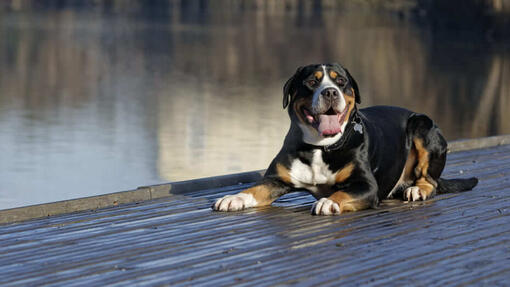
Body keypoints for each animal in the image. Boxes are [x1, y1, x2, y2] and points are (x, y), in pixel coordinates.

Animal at [211, 63, 478, 216]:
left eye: (341, 82)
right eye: (311, 81)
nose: (330, 92)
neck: (320, 147)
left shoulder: (366, 185)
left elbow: (341, 194)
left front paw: (330, 202)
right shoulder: (276, 179)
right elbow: (255, 189)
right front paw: (235, 198)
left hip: (423, 125)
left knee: (430, 181)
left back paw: (417, 190)